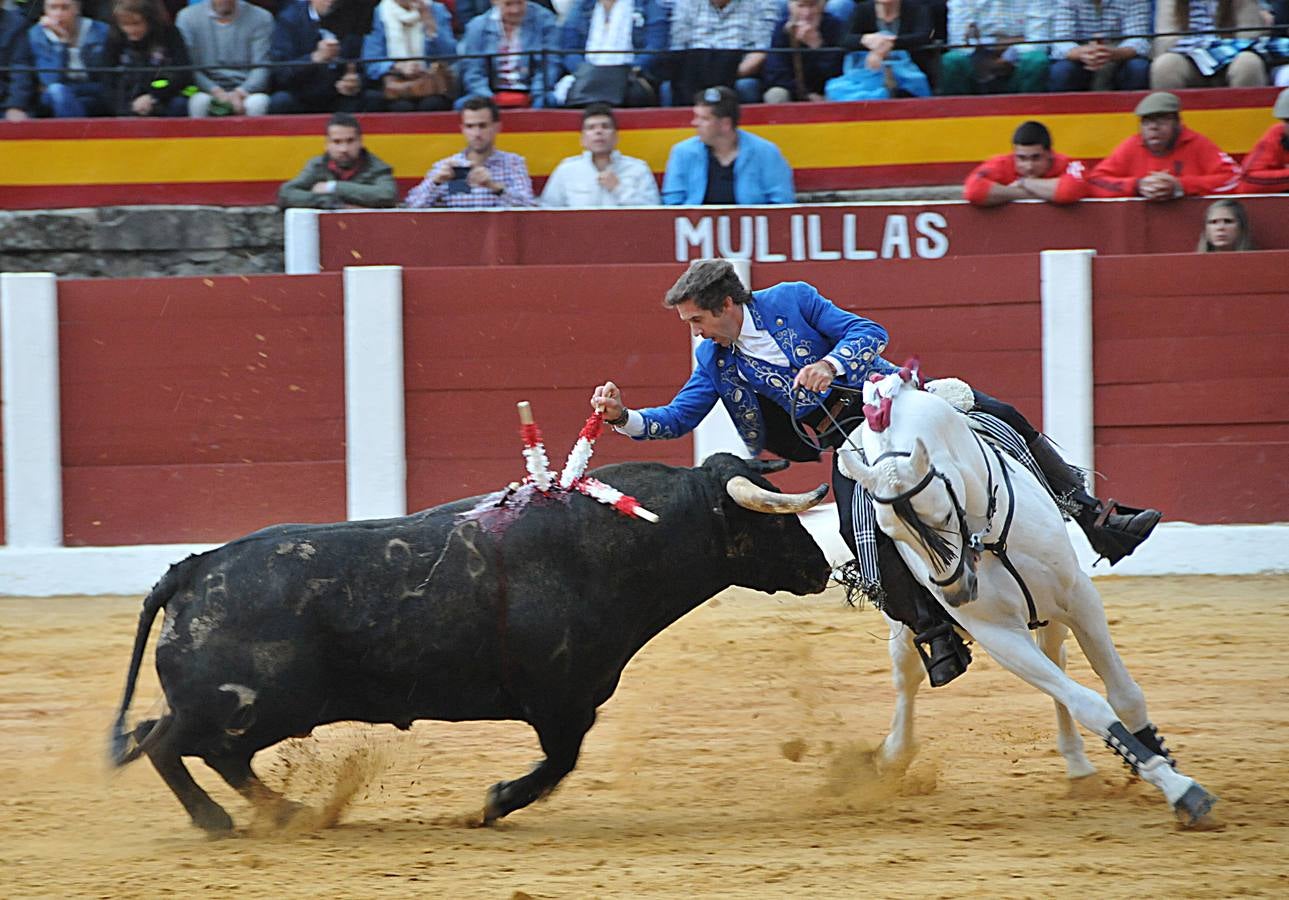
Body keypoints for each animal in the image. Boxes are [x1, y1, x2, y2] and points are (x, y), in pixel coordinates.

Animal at [113, 451, 835, 830]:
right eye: (773, 521)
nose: (822, 567)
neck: (613, 544)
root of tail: (194, 568)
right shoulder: (562, 700)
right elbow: (560, 761)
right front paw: (494, 803)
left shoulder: (566, 702)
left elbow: (561, 762)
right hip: (250, 705)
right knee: (171, 743)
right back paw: (226, 821)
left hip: (250, 708)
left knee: (184, 744)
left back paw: (290, 812)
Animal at [835, 368, 1216, 825]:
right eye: (888, 531)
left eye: (941, 515)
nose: (958, 592)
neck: (984, 529)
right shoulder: (1000, 636)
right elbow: (1086, 701)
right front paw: (1180, 790)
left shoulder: (1078, 597)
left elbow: (1124, 694)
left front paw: (1162, 763)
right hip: (908, 625)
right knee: (907, 676)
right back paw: (894, 755)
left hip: (1050, 608)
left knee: (1055, 655)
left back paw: (1079, 766)